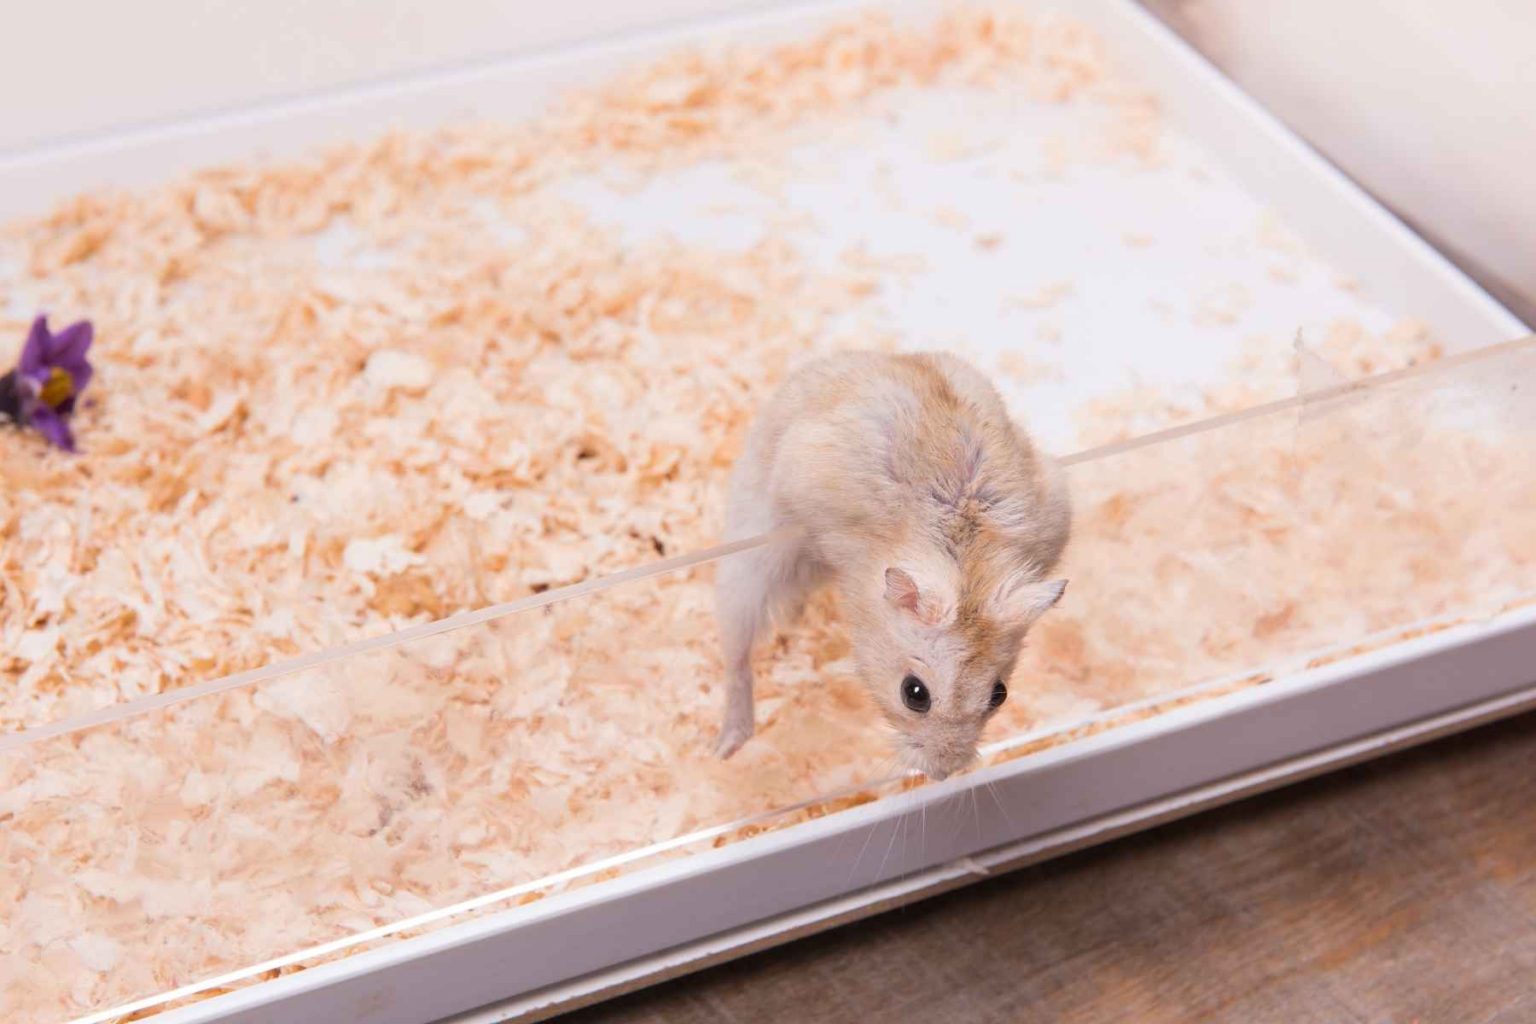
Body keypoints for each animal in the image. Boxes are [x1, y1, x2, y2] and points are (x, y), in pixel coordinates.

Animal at [714, 351, 1071, 780]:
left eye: (998, 694)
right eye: (914, 693)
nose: (943, 774)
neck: (965, 558)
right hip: (750, 560)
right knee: (736, 656)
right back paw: (725, 748)